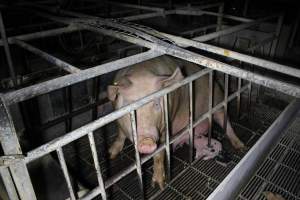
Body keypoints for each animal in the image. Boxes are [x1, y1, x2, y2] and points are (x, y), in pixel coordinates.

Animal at [106, 55, 245, 189]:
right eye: (129, 107)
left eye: (157, 104)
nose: (146, 141)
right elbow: (120, 134)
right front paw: (111, 154)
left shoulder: (166, 125)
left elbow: (159, 153)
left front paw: (159, 186)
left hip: (218, 101)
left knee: (226, 122)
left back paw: (241, 147)